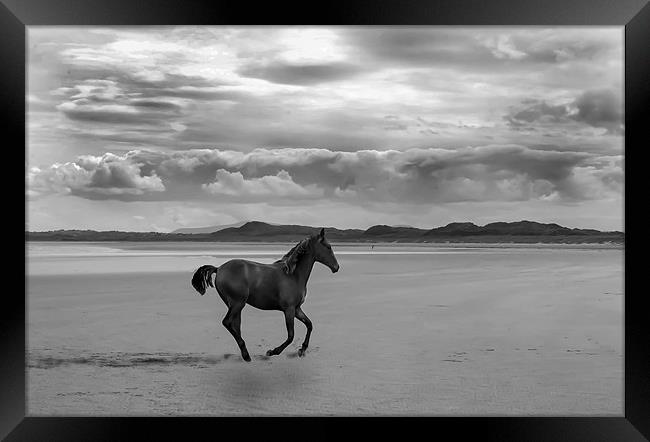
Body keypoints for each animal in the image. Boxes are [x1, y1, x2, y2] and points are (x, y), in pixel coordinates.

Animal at [189, 230, 336, 360]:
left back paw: (245, 353)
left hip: (234, 305)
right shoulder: (288, 309)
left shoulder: (297, 309)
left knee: (235, 325)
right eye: (328, 247)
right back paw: (246, 355)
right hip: (237, 303)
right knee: (227, 322)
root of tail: (218, 269)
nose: (336, 267)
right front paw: (272, 352)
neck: (293, 275)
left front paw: (302, 349)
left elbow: (309, 325)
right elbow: (291, 336)